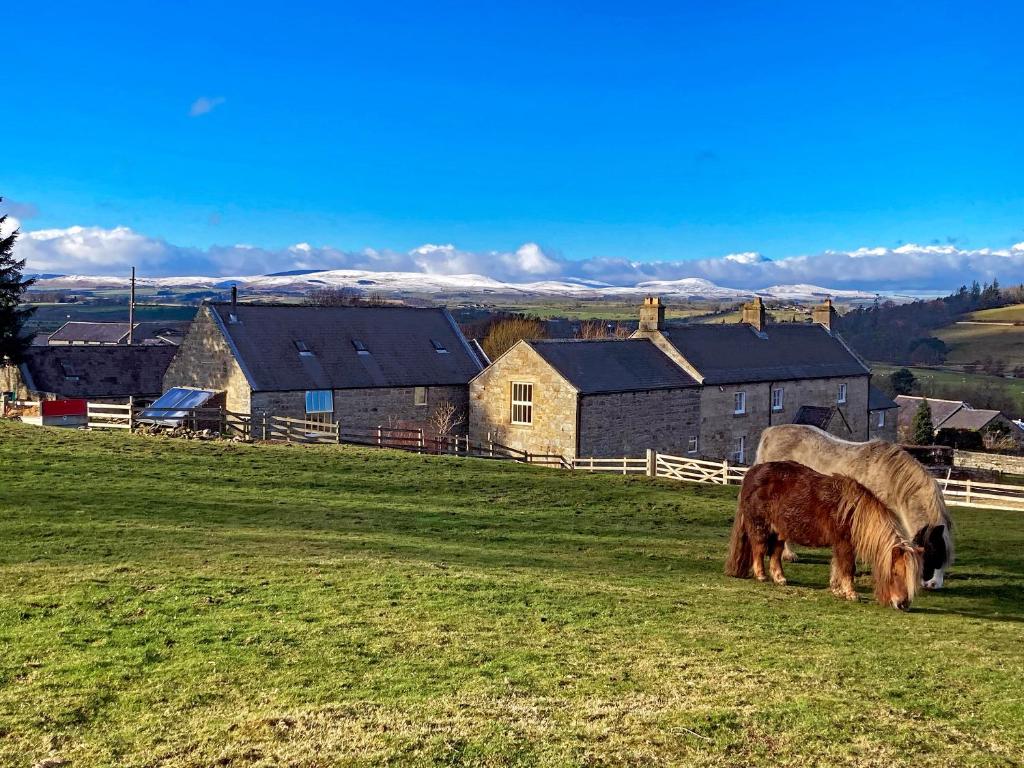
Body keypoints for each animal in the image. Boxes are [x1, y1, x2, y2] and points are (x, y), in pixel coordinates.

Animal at [724, 460, 925, 610]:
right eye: (895, 573)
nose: (903, 604)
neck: (853, 513)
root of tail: (752, 472)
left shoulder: (841, 544)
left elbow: (837, 565)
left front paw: (837, 589)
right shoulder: (844, 543)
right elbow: (848, 567)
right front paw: (851, 593)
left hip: (779, 531)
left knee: (775, 554)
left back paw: (780, 578)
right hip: (761, 527)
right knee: (759, 549)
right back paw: (761, 576)